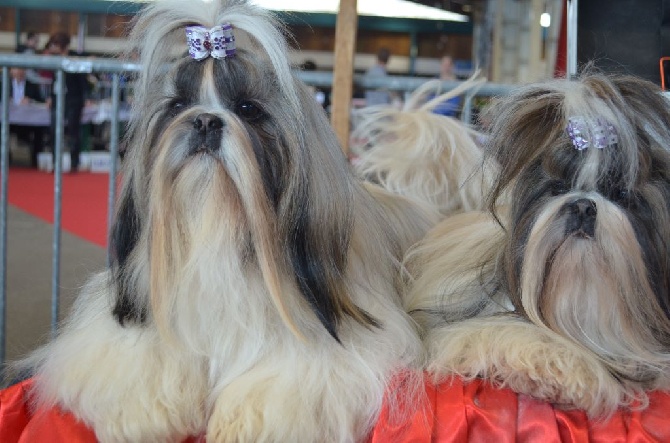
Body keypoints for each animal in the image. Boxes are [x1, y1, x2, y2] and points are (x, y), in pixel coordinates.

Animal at [17, 1, 440, 442]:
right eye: (177, 106)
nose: (204, 120)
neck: (216, 229)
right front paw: (144, 411)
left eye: (247, 109)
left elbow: (290, 372)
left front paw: (240, 420)